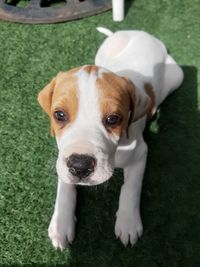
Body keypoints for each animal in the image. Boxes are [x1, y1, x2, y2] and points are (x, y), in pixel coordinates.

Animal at [37, 27, 183, 249]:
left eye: (113, 119)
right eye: (59, 115)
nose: (80, 166)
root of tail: (143, 34)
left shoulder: (141, 153)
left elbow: (131, 187)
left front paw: (128, 222)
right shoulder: (62, 161)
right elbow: (64, 186)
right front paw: (61, 224)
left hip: (178, 76)